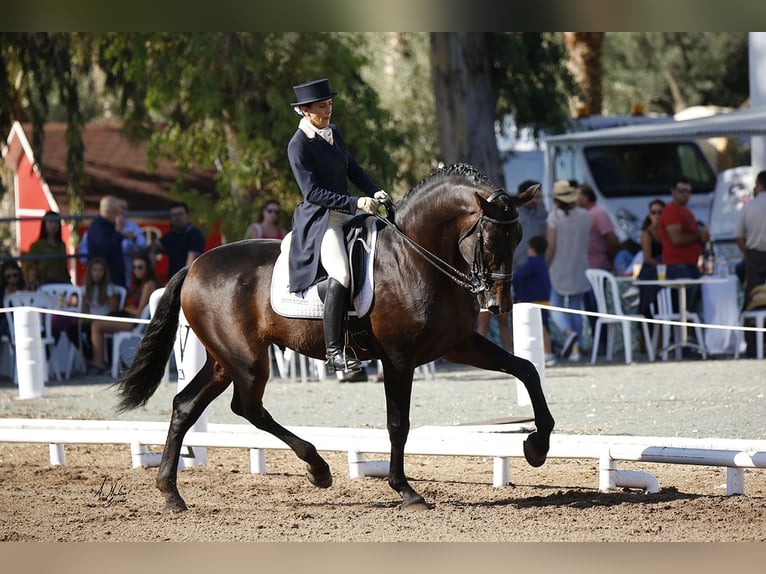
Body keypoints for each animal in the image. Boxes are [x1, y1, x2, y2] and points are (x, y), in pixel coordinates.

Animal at [117, 162, 556, 512]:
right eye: (489, 239)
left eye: (519, 237)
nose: (499, 304)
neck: (415, 258)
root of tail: (193, 267)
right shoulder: (398, 358)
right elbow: (398, 422)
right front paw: (405, 490)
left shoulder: (459, 345)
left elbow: (527, 370)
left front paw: (537, 447)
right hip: (247, 361)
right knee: (247, 407)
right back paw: (318, 468)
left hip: (225, 360)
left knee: (186, 405)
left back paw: (171, 492)